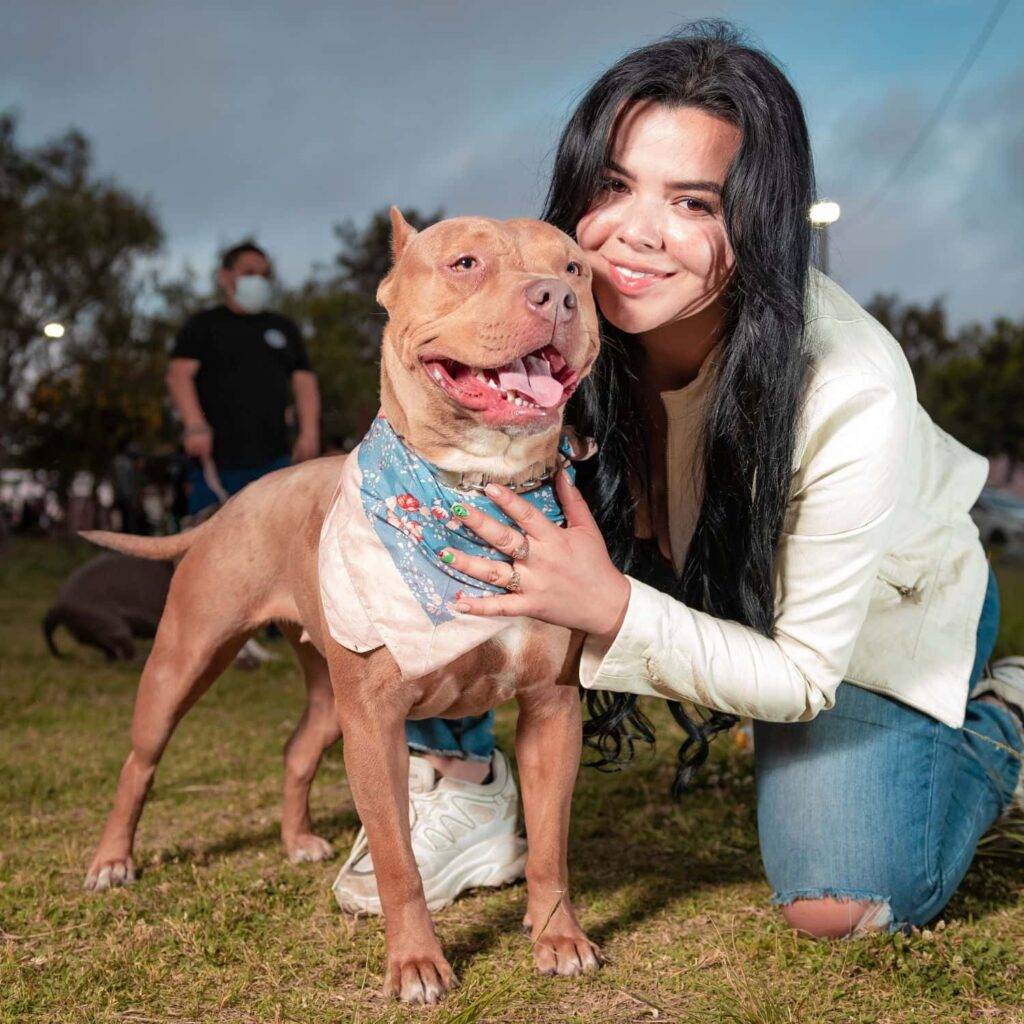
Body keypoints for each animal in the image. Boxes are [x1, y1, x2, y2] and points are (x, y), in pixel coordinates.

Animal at [88, 207, 602, 999]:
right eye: (464, 263)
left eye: (575, 268)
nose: (557, 297)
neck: (472, 490)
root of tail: (234, 501)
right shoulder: (375, 726)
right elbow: (397, 861)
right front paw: (416, 963)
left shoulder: (551, 709)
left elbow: (550, 845)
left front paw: (557, 936)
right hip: (185, 662)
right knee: (140, 763)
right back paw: (114, 859)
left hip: (328, 692)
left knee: (297, 749)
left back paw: (297, 840)